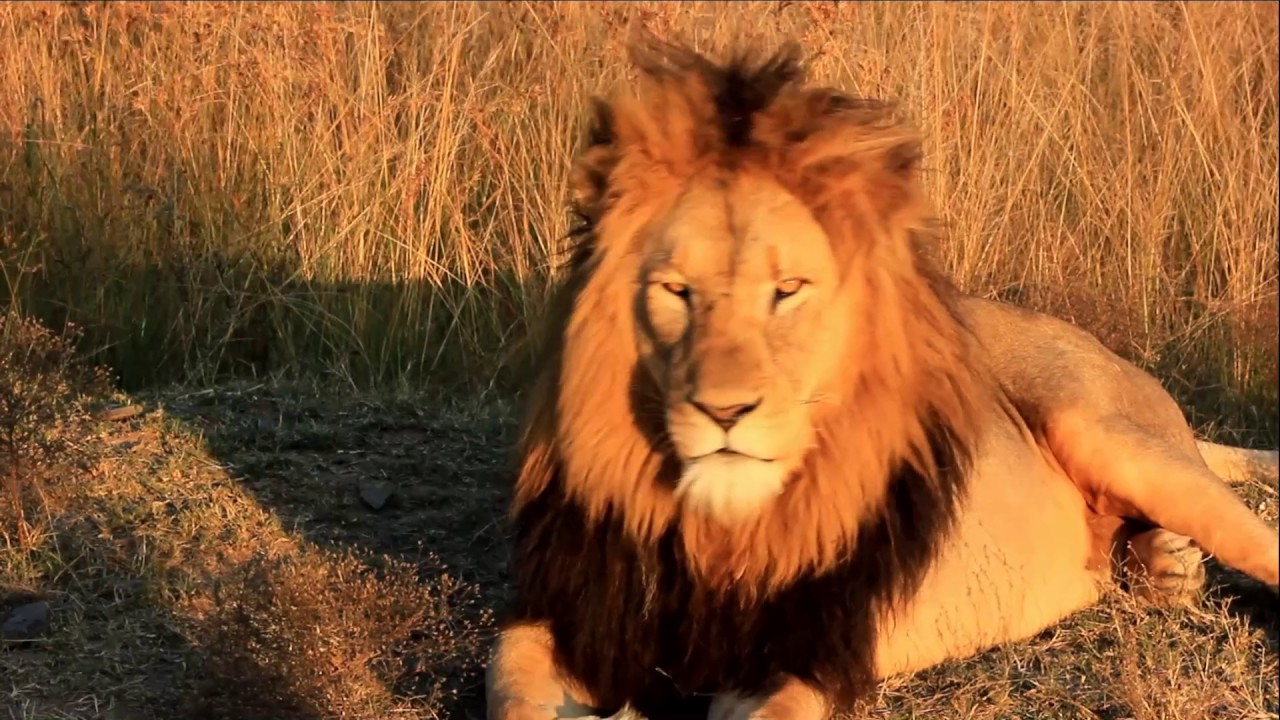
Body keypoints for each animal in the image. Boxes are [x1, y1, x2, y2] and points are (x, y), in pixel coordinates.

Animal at [486, 39, 1280, 720]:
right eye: (676, 291)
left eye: (788, 290)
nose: (725, 412)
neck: (716, 528)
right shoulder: (562, 615)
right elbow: (511, 682)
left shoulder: (813, 650)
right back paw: (1165, 566)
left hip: (1104, 429)